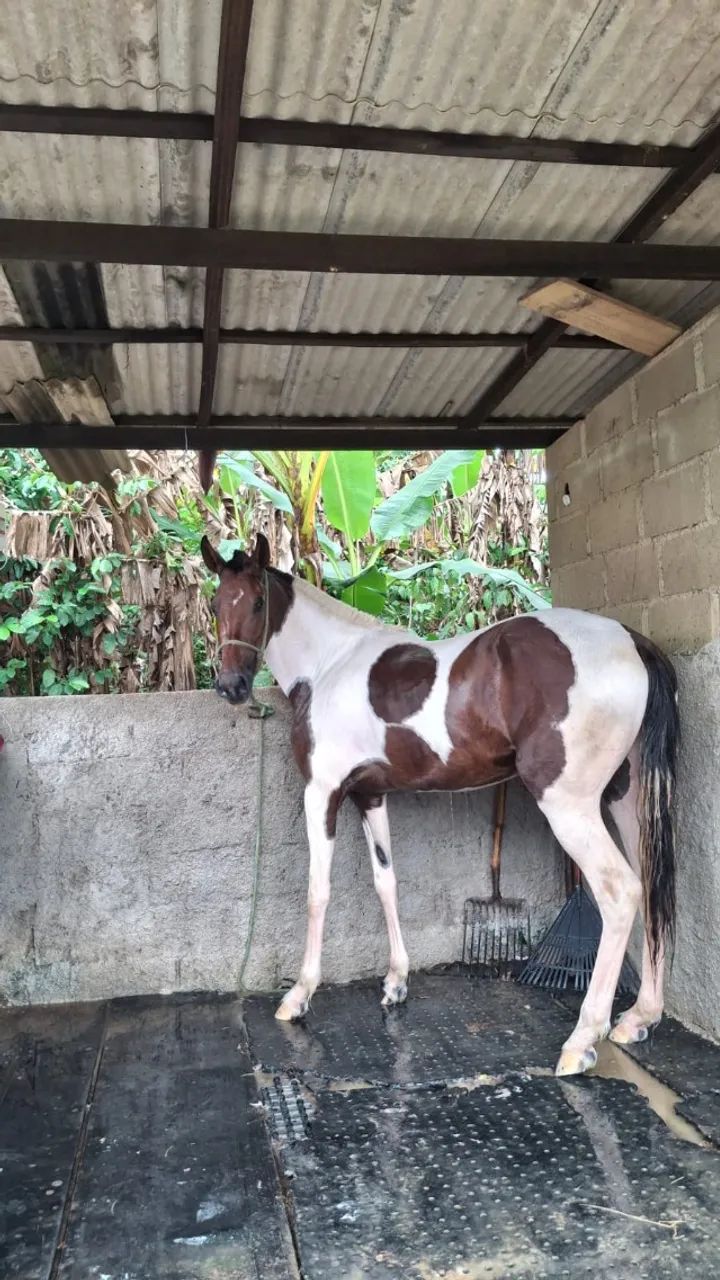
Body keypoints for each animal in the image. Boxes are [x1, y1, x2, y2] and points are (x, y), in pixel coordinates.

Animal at [201, 532, 679, 1077]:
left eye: (259, 602)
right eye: (216, 604)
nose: (231, 687)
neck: (330, 663)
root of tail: (630, 640)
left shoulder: (322, 792)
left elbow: (317, 892)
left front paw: (299, 996)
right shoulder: (370, 795)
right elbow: (386, 882)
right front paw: (396, 982)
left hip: (570, 806)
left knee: (620, 892)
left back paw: (582, 1039)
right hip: (624, 801)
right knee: (651, 886)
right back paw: (639, 1017)